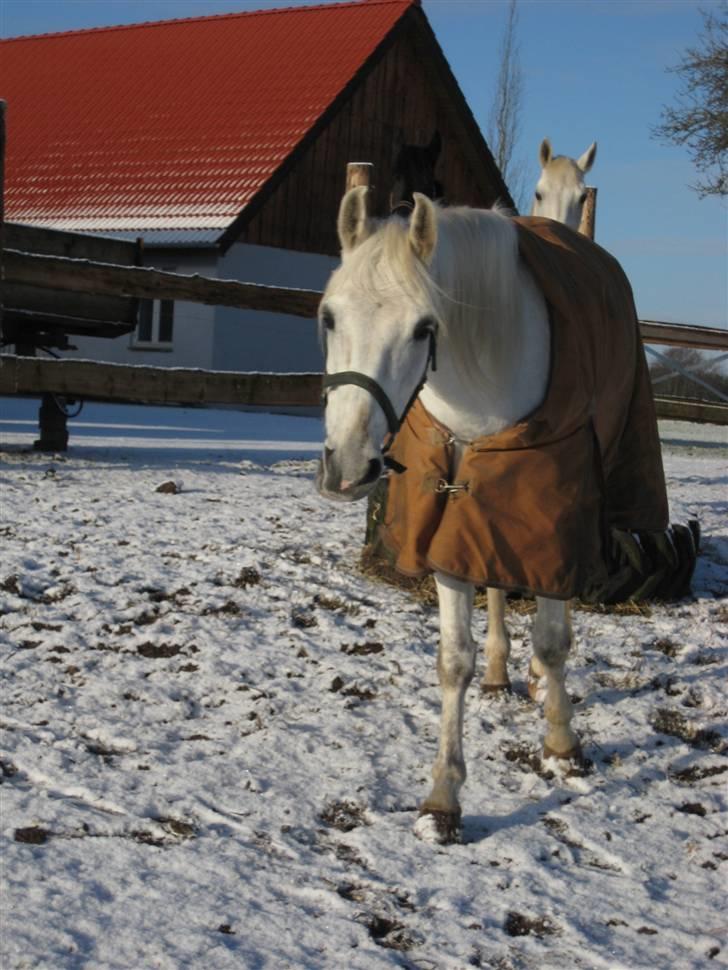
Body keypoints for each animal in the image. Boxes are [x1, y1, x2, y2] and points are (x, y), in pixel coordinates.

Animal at [316, 187, 576, 840]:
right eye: (328, 317)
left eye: (423, 328)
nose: (348, 467)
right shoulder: (454, 529)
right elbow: (453, 659)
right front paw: (443, 799)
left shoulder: (556, 515)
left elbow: (553, 638)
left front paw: (562, 741)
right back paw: (501, 672)